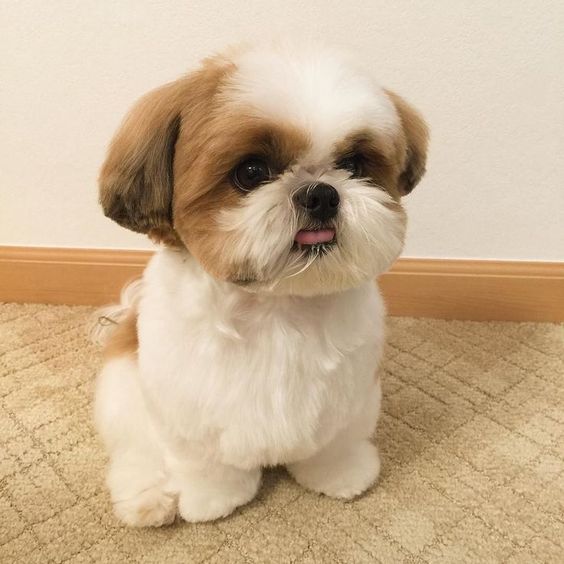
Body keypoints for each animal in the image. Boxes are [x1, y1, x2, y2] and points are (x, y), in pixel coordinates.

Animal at [93, 41, 428, 528]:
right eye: (251, 172)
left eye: (353, 165)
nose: (320, 193)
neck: (278, 307)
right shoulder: (187, 409)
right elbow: (204, 460)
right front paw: (214, 498)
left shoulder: (351, 394)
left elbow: (337, 441)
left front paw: (342, 475)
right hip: (123, 391)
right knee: (136, 450)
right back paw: (148, 497)